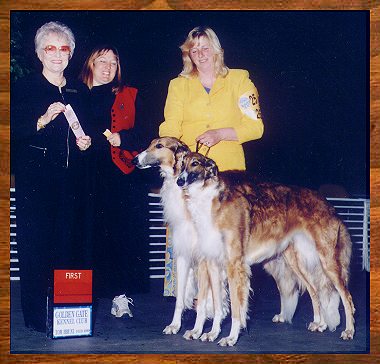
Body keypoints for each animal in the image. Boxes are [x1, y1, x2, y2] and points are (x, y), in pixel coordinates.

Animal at [132, 136, 229, 338]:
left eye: (159, 146)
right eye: (151, 143)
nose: (134, 160)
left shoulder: (204, 259)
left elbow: (203, 301)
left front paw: (198, 329)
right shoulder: (183, 255)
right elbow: (180, 298)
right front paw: (175, 325)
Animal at [177, 152, 354, 346]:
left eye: (195, 163)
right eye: (181, 164)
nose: (179, 181)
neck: (209, 200)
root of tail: (328, 204)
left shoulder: (234, 265)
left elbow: (237, 309)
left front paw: (231, 338)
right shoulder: (213, 263)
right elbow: (217, 306)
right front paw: (212, 333)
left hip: (328, 260)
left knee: (347, 297)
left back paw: (349, 331)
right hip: (296, 262)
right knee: (314, 290)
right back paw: (319, 323)